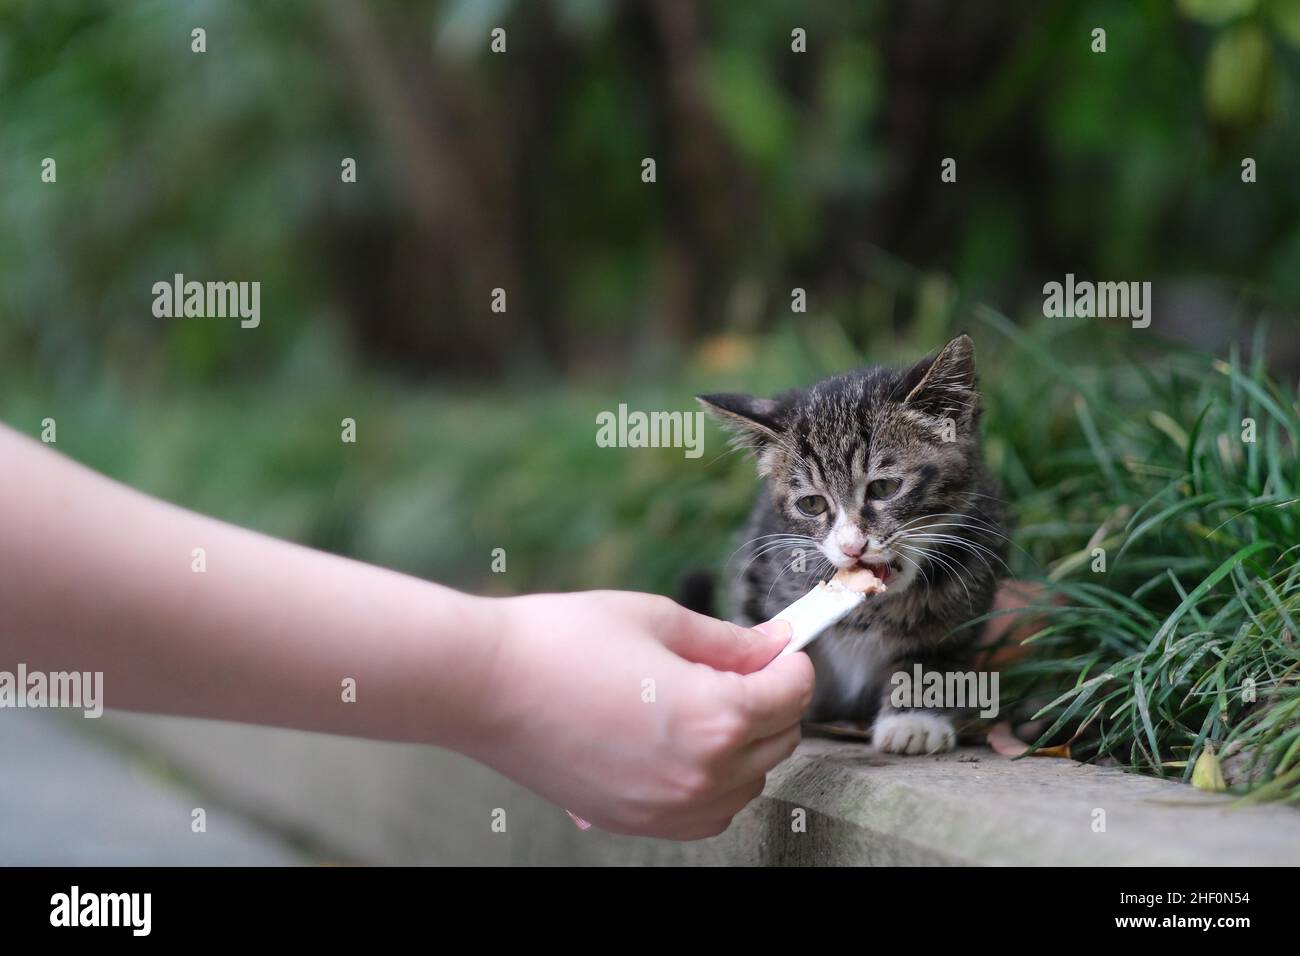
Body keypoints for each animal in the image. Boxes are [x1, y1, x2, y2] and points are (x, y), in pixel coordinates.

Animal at [696, 335, 1008, 754]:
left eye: (885, 487)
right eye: (812, 504)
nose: (851, 546)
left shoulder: (970, 592)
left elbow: (935, 656)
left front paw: (914, 720)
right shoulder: (760, 566)